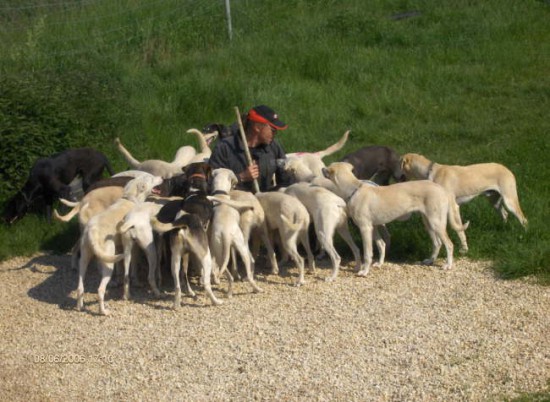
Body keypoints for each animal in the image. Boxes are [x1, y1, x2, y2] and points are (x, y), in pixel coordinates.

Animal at [324, 162, 470, 274]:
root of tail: (442, 189)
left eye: (328, 167)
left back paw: (448, 265)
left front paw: (364, 271)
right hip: (428, 223)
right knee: (437, 243)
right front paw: (379, 264)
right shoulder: (373, 227)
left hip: (436, 223)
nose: (322, 169)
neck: (354, 190)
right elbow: (381, 245)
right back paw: (430, 261)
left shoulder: (365, 228)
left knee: (449, 244)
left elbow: (367, 253)